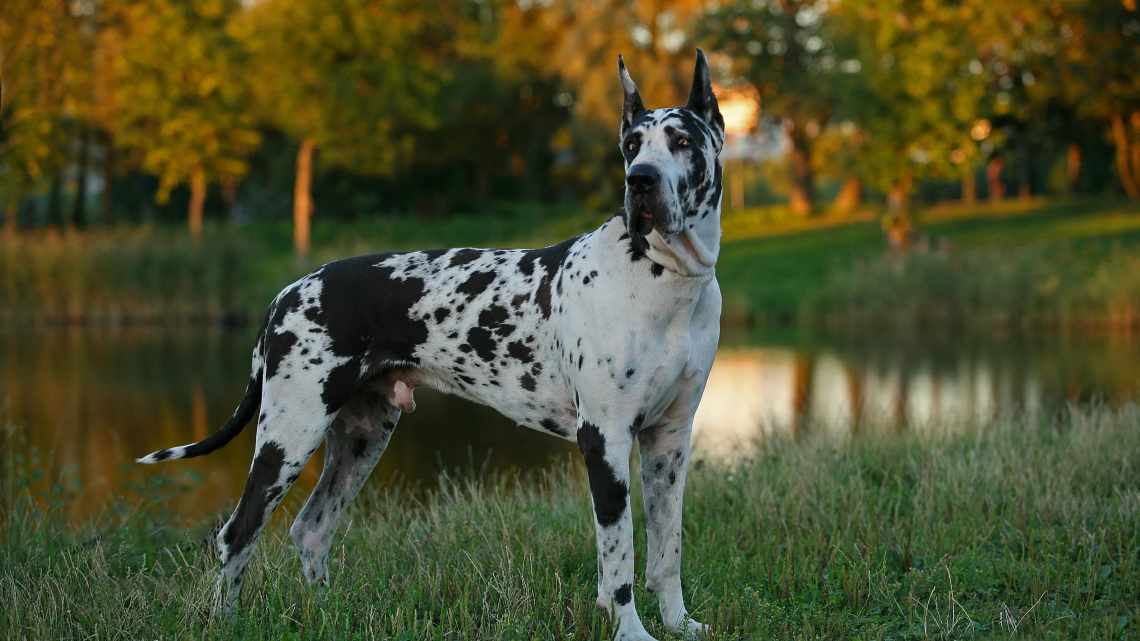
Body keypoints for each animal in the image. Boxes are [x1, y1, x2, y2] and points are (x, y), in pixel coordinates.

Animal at [140, 47, 720, 634]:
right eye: (631, 146)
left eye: (682, 141)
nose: (640, 181)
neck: (663, 278)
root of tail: (287, 291)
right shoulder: (605, 440)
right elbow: (619, 559)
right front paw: (632, 633)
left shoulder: (669, 440)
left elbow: (667, 551)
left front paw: (678, 624)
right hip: (289, 434)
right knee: (237, 533)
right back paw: (227, 620)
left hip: (361, 437)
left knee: (311, 529)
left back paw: (330, 612)